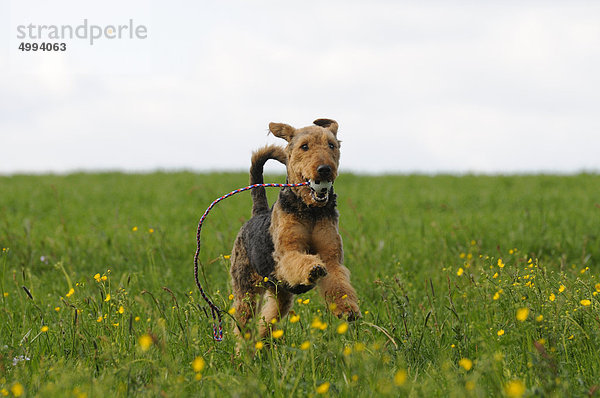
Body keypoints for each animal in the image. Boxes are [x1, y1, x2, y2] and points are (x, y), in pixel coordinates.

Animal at [230, 118, 360, 338]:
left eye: (331, 145)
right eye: (304, 146)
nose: (324, 169)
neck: (311, 211)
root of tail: (258, 213)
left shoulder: (331, 257)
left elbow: (338, 283)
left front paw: (348, 309)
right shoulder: (288, 252)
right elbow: (298, 259)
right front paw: (313, 269)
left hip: (280, 294)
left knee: (268, 317)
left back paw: (262, 341)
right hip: (246, 289)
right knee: (243, 323)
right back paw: (246, 347)